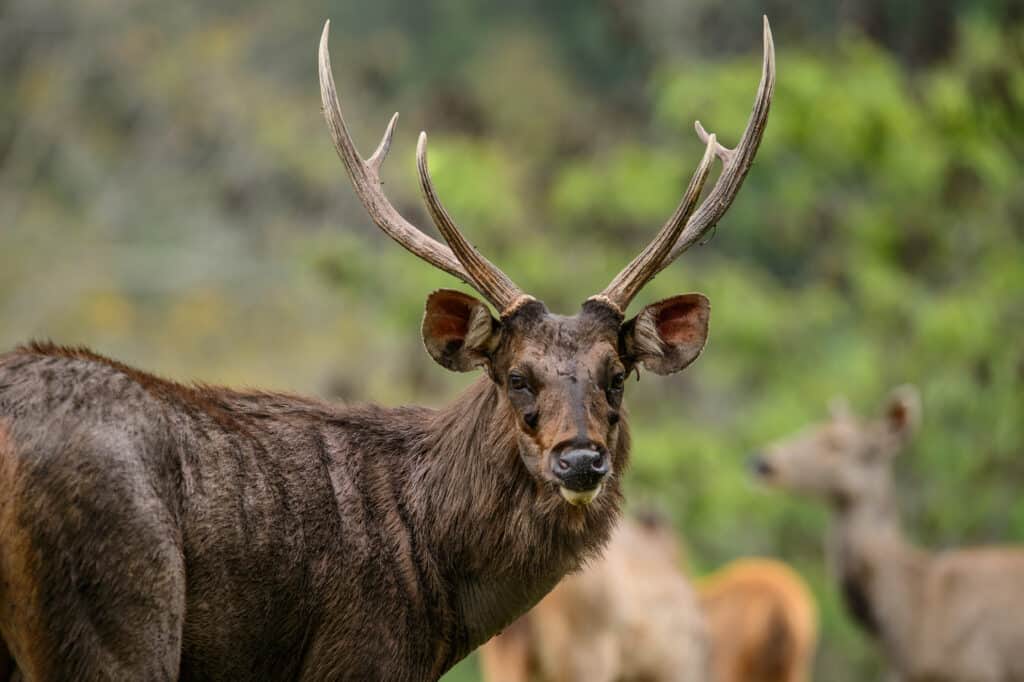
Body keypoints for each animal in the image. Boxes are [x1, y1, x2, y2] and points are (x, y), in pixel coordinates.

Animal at [0, 17, 774, 679]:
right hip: (117, 608)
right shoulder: (363, 655)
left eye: (615, 375)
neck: (441, 589)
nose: (580, 459)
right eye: (516, 377)